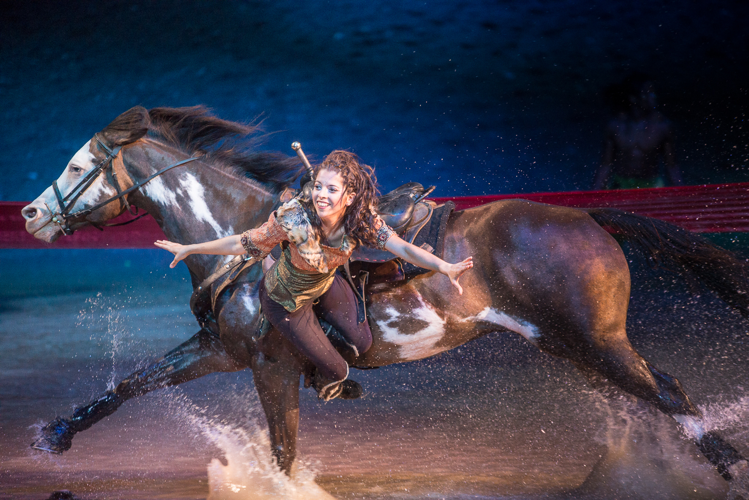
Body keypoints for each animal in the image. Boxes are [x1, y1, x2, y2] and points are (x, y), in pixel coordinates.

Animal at [22, 106, 749, 486]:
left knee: (669, 395)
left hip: (594, 341)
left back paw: (722, 464)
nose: (30, 215)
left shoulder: (271, 365)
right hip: (570, 344)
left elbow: (283, 448)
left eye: (79, 167)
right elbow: (134, 381)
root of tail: (589, 217)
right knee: (662, 394)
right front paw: (55, 434)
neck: (242, 242)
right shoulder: (222, 349)